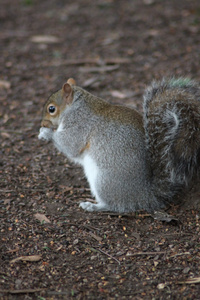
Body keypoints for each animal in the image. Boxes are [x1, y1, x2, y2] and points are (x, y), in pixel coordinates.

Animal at [38, 77, 200, 213]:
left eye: (51, 109)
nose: (42, 123)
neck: (75, 107)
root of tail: (145, 195)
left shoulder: (79, 125)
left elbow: (70, 145)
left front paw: (46, 133)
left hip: (104, 181)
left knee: (115, 205)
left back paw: (93, 206)